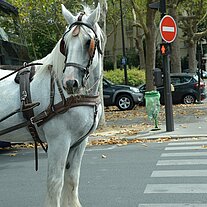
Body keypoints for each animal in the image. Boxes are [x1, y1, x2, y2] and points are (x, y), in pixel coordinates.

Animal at [0, 3, 106, 207]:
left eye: (88, 42)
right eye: (65, 44)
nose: (70, 83)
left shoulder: (79, 142)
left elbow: (72, 179)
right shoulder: (59, 140)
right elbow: (55, 183)